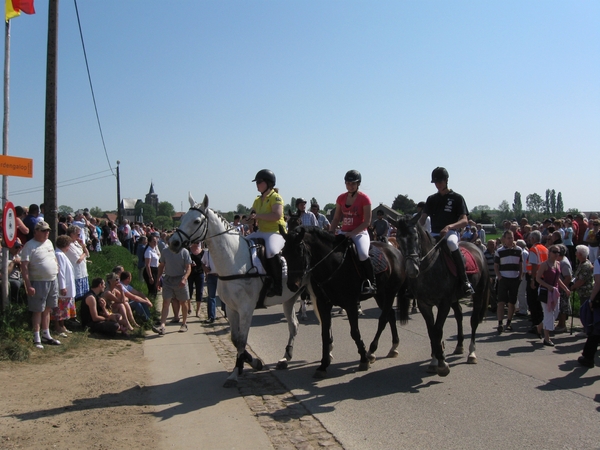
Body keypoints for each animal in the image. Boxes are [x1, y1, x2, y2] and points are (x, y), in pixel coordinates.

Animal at [169, 193, 310, 386]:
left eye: (196, 221)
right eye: (182, 219)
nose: (173, 243)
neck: (234, 259)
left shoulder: (245, 309)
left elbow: (242, 340)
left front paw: (236, 372)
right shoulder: (231, 308)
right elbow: (235, 340)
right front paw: (252, 363)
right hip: (289, 299)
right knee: (293, 325)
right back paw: (286, 357)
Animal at [282, 227, 408, 378]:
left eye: (299, 251)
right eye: (284, 252)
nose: (292, 285)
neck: (332, 265)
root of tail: (395, 250)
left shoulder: (351, 304)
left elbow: (354, 332)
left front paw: (363, 360)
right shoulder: (323, 304)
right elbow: (325, 334)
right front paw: (323, 365)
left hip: (390, 292)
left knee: (383, 319)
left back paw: (371, 351)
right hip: (380, 295)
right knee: (391, 315)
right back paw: (393, 347)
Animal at [396, 214, 490, 376]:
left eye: (415, 237)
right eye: (398, 239)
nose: (411, 270)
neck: (429, 268)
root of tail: (477, 249)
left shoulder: (444, 303)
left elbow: (438, 330)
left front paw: (442, 364)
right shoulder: (424, 304)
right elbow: (431, 331)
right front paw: (435, 360)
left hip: (478, 294)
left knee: (473, 321)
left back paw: (471, 353)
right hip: (455, 298)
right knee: (459, 315)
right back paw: (459, 345)